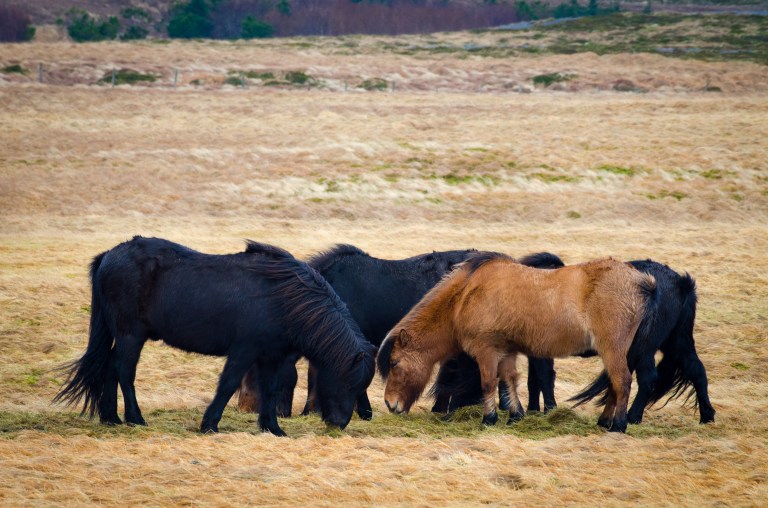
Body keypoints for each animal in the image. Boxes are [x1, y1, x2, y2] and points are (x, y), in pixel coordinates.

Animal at [53, 237, 376, 436]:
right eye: (348, 382)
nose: (339, 424)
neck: (283, 297)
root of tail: (110, 255)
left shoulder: (270, 357)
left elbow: (270, 391)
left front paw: (272, 427)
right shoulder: (244, 351)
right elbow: (227, 385)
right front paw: (209, 424)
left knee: (109, 368)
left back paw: (111, 418)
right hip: (131, 336)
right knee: (124, 373)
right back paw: (135, 418)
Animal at [378, 253, 658, 433]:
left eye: (394, 363)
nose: (390, 403)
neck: (466, 295)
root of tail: (641, 282)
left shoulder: (487, 351)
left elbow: (489, 383)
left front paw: (489, 419)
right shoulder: (506, 351)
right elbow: (510, 379)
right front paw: (515, 416)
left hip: (612, 349)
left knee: (622, 381)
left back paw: (618, 425)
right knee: (614, 384)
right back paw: (604, 421)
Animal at [431, 257, 716, 425]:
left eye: (451, 370)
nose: (441, 412)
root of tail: (679, 282)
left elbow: (540, 378)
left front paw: (541, 409)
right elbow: (532, 379)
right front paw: (531, 409)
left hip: (641, 348)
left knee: (640, 380)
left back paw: (627, 420)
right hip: (675, 342)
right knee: (696, 371)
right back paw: (706, 415)